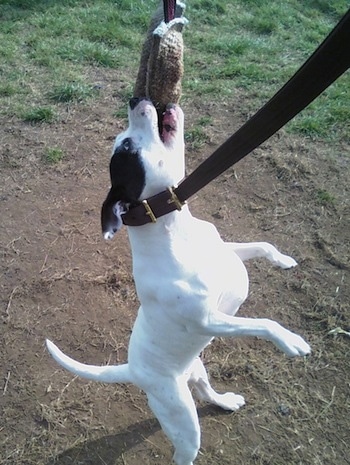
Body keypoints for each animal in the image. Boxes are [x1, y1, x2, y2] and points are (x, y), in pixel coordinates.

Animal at [45, 96, 310, 462]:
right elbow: (263, 323)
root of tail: (132, 369)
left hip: (198, 373)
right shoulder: (208, 320)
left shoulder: (227, 253)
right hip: (181, 418)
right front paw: (290, 341)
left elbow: (264, 246)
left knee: (207, 393)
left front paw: (284, 261)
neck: (174, 233)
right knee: (184, 450)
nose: (135, 99)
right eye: (126, 145)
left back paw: (226, 401)